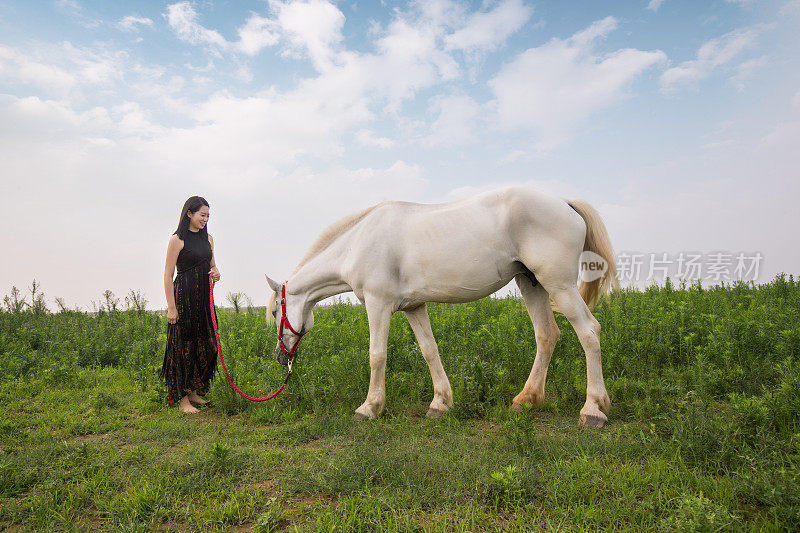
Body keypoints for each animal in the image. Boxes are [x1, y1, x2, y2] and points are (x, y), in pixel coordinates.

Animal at [268, 185, 620, 426]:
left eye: (274, 312)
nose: (280, 357)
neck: (357, 243)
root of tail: (564, 202)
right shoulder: (414, 307)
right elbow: (429, 350)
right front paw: (440, 403)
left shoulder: (377, 305)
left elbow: (377, 355)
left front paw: (369, 408)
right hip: (531, 284)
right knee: (547, 335)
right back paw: (526, 400)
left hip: (559, 285)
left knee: (589, 332)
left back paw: (593, 410)